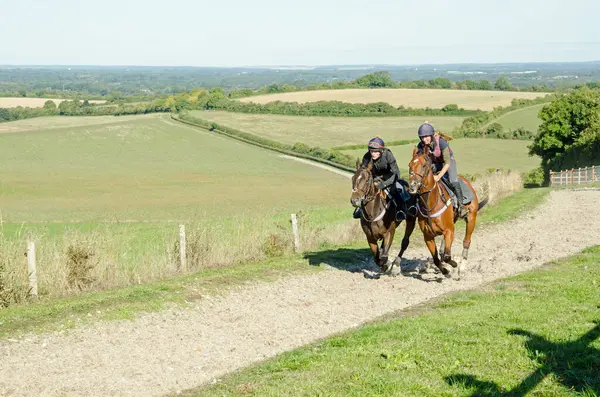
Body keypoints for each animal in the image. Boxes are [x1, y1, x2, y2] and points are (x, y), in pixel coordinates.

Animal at [408, 145, 488, 278]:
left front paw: (454, 265)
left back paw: (462, 267)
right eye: (410, 165)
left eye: (424, 165)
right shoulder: (428, 236)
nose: (412, 186)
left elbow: (447, 256)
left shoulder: (449, 230)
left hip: (471, 218)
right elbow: (436, 258)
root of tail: (466, 181)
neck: (430, 204)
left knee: (466, 241)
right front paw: (445, 271)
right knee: (442, 250)